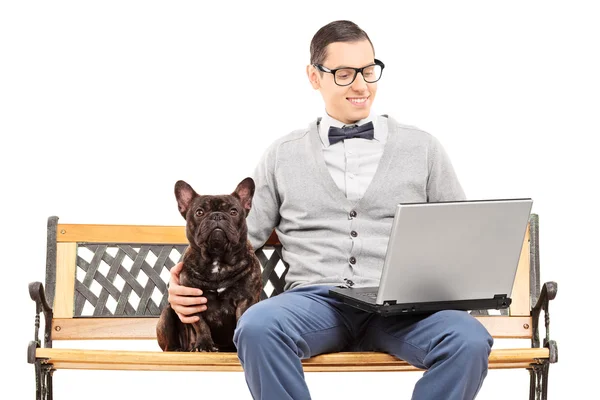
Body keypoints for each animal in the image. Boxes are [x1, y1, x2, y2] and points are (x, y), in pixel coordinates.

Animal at [157, 177, 262, 352]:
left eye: (233, 212)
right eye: (199, 212)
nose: (217, 216)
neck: (217, 259)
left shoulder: (245, 299)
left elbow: (242, 319)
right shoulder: (192, 302)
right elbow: (201, 324)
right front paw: (204, 344)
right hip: (167, 313)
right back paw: (178, 349)